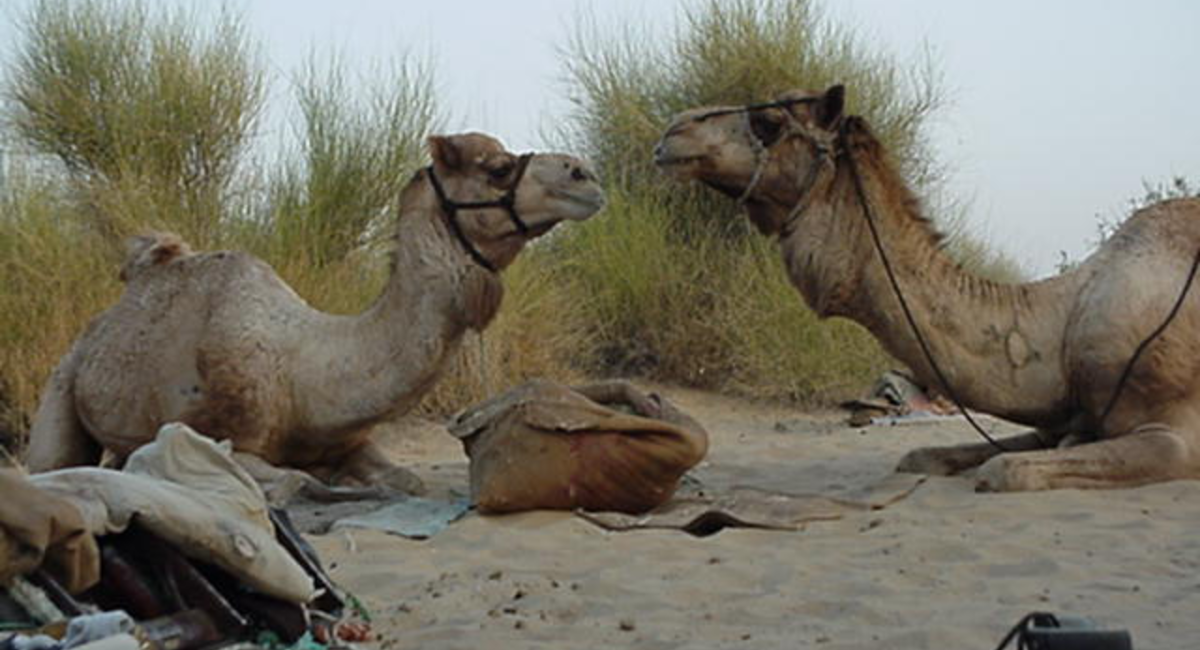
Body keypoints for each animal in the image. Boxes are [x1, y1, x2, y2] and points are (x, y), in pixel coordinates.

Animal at [25, 132, 609, 494]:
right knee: (51, 466)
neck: (305, 368)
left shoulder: (352, 440)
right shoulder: (220, 436)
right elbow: (292, 480)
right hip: (61, 383)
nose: (585, 174)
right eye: (499, 168)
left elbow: (407, 479)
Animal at [662, 88, 1200, 494]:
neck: (1062, 324)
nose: (673, 131)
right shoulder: (1057, 419)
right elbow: (921, 456)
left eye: (770, 120)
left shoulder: (1177, 437)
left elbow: (1002, 470)